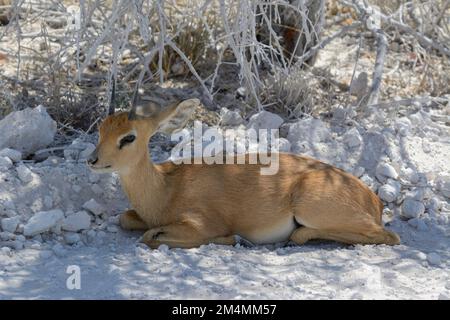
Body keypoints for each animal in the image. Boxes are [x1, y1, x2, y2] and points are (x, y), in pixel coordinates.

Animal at [88, 97, 400, 248]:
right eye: (101, 128)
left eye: (128, 137)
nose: (92, 160)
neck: (165, 189)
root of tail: (374, 200)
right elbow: (126, 218)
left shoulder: (199, 223)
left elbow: (150, 236)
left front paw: (232, 238)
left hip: (311, 209)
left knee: (388, 236)